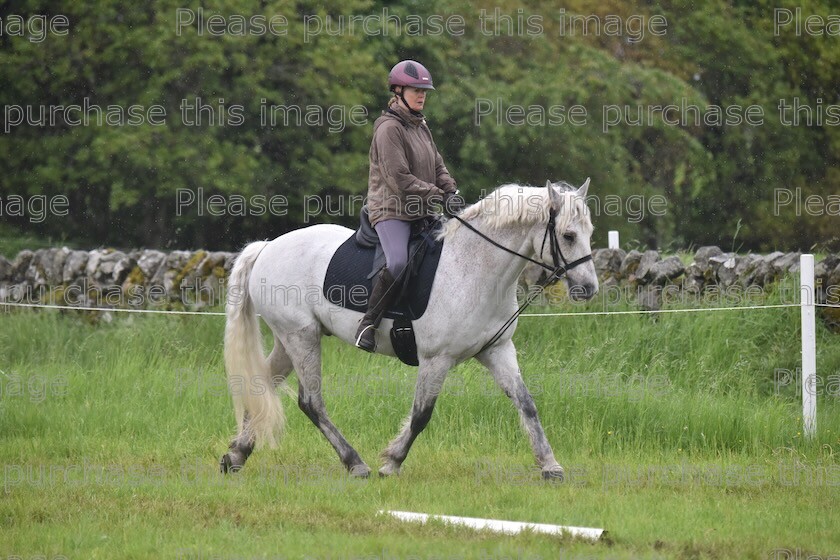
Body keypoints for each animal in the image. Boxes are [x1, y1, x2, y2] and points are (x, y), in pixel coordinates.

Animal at [218, 180, 596, 482]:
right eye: (568, 235)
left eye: (589, 233)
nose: (589, 288)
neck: (474, 269)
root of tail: (267, 246)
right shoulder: (436, 359)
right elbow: (421, 414)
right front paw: (391, 463)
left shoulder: (497, 350)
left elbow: (526, 403)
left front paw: (550, 466)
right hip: (301, 337)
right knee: (311, 402)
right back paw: (355, 463)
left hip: (292, 338)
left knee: (263, 385)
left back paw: (236, 454)